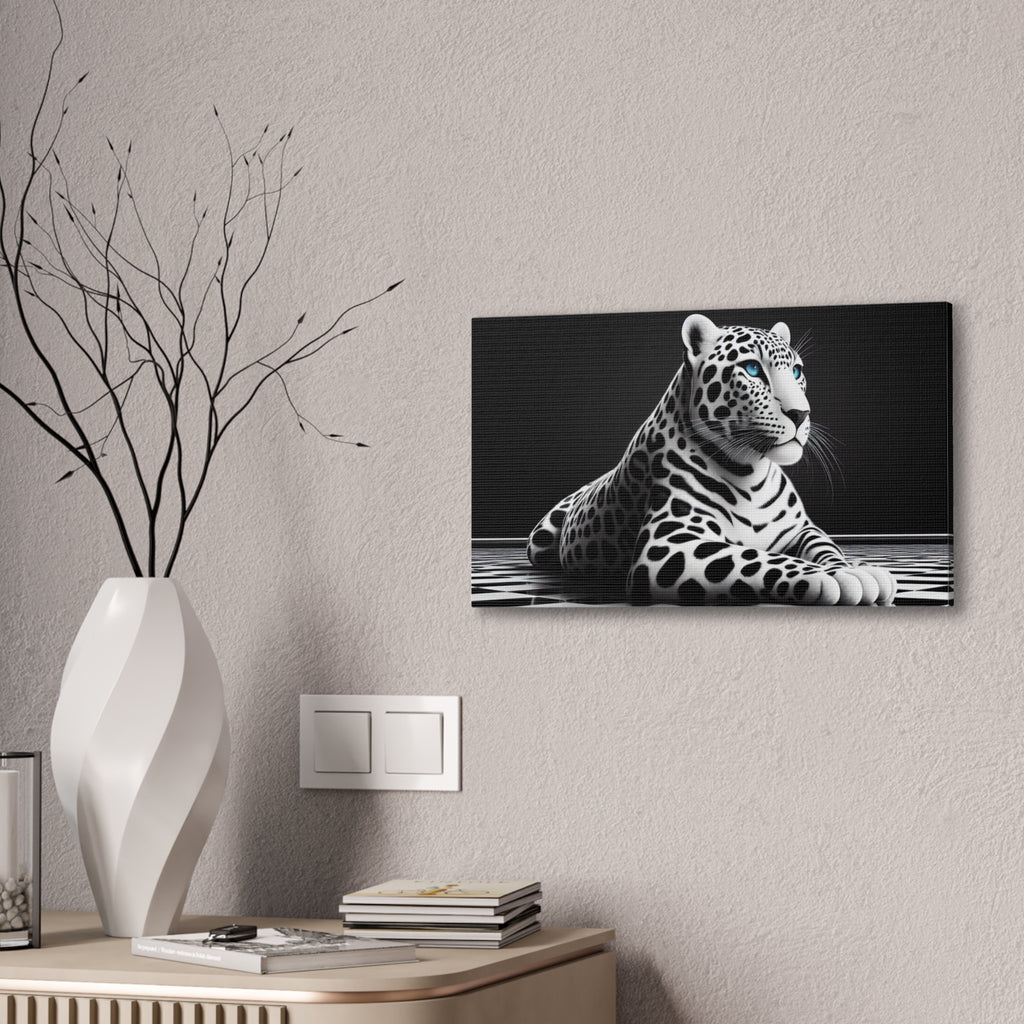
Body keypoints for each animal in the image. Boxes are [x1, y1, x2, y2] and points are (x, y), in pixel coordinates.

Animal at [526, 313, 897, 606]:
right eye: (752, 369)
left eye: (796, 372)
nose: (801, 414)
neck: (752, 472)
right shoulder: (670, 543)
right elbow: (756, 558)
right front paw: (835, 578)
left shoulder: (801, 529)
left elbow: (827, 547)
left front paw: (852, 568)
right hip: (539, 541)